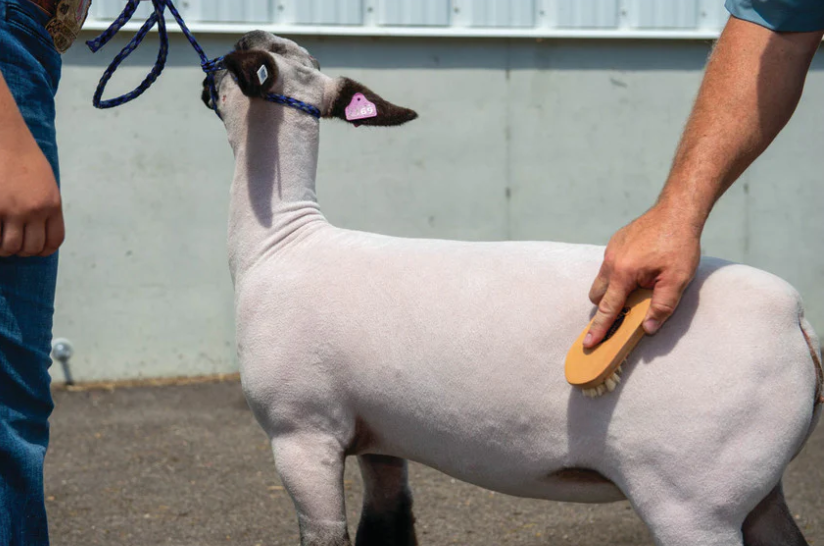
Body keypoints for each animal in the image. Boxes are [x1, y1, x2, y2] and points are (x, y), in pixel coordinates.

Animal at [202, 31, 823, 546]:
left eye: (239, 53)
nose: (207, 75)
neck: (283, 241)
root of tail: (795, 319)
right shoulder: (379, 438)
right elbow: (389, 529)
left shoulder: (301, 432)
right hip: (752, 486)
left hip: (693, 493)